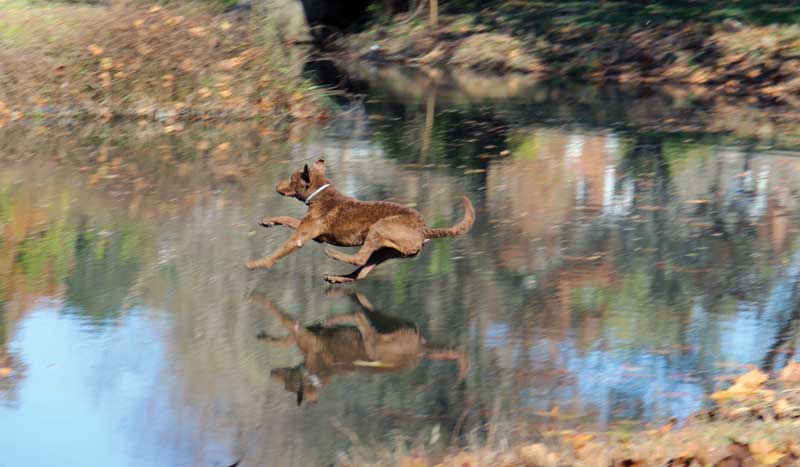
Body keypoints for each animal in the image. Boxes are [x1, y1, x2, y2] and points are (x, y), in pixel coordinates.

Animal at [248, 159, 476, 284]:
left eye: (291, 179)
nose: (276, 186)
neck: (320, 194)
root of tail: (425, 229)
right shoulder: (308, 229)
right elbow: (286, 218)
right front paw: (267, 221)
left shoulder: (302, 236)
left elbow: (279, 250)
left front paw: (257, 263)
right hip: (386, 251)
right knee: (362, 271)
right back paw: (337, 278)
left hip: (379, 228)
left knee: (359, 259)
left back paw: (333, 255)